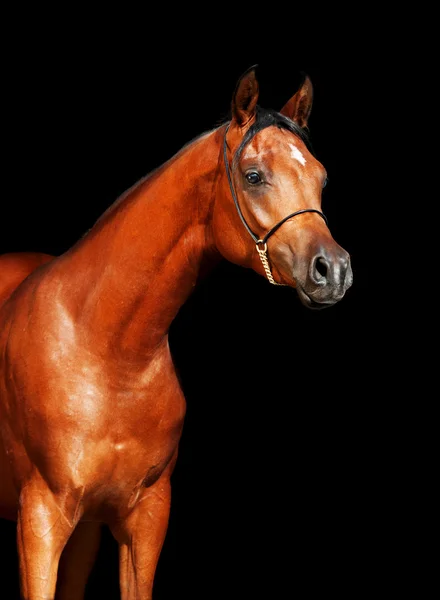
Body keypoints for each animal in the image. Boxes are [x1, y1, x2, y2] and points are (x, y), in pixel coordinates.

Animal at [0, 64, 350, 596]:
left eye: (321, 176)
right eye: (253, 176)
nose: (333, 270)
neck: (108, 354)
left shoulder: (145, 518)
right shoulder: (40, 515)